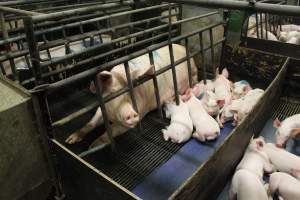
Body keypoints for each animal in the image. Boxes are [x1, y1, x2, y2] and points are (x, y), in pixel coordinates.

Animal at [65, 44, 197, 147]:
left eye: (131, 93)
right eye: (112, 93)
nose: (131, 113)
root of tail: (184, 47)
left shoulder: (139, 113)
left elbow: (112, 131)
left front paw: (93, 146)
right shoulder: (101, 109)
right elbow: (91, 122)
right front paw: (70, 140)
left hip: (193, 72)